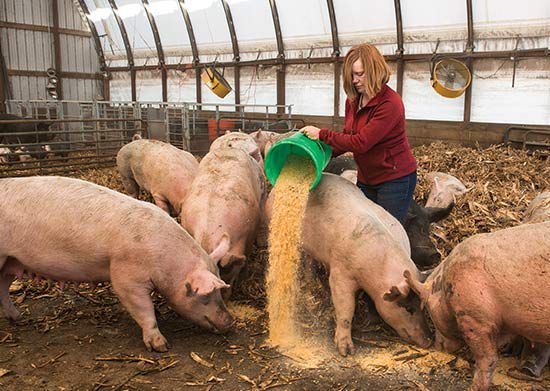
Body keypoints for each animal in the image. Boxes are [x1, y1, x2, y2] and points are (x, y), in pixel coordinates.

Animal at [0, 177, 235, 352]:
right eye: (205, 296)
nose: (229, 321)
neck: (166, 261)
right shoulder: (125, 275)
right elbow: (142, 307)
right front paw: (161, 346)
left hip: (11, 261)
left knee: (3, 288)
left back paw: (19, 318)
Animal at [266, 173, 434, 356]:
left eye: (423, 307)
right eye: (408, 308)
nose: (429, 341)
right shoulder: (341, 273)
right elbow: (346, 309)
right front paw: (346, 351)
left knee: (310, 261)